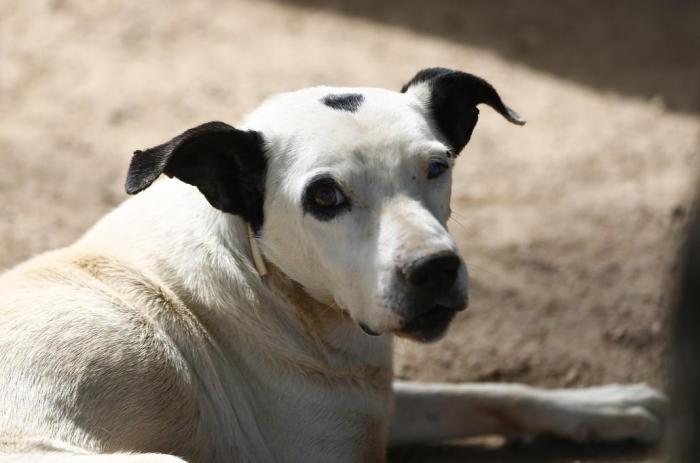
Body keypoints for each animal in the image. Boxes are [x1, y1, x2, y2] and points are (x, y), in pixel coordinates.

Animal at [0, 67, 668, 462]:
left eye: (438, 166)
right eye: (324, 197)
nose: (435, 270)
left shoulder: (372, 406)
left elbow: (480, 392)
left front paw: (601, 405)